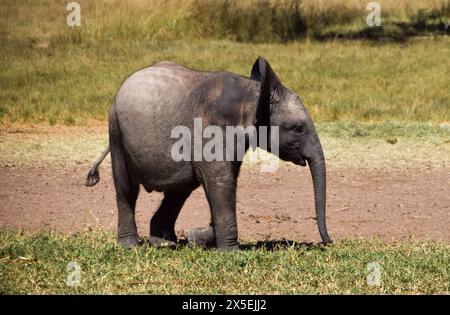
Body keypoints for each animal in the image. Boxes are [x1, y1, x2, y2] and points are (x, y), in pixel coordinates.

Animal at [86, 56, 330, 249]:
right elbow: (220, 182)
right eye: (299, 128)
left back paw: (165, 243)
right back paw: (131, 246)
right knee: (127, 188)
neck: (253, 92)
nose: (328, 242)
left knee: (180, 190)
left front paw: (194, 237)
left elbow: (220, 183)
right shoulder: (212, 128)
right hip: (116, 130)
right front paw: (230, 251)